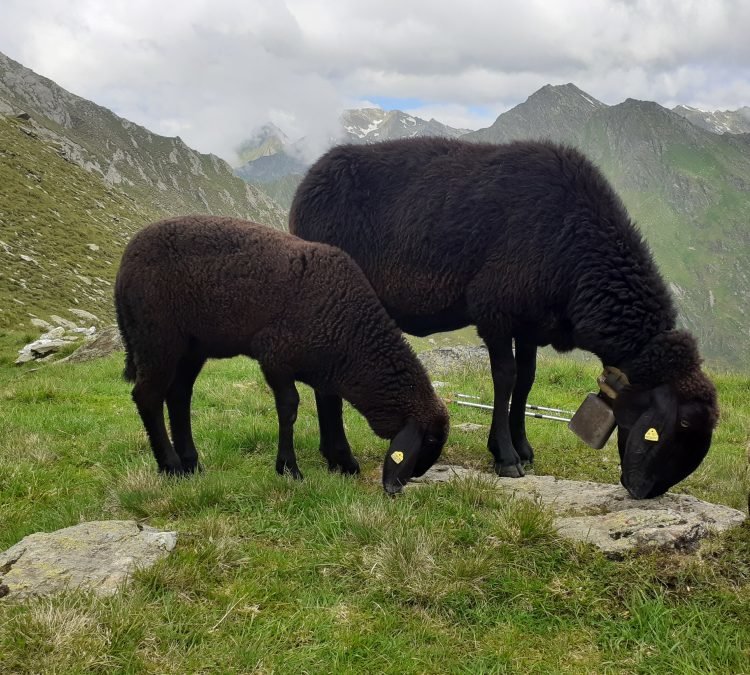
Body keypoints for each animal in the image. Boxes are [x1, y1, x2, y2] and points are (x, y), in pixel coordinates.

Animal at [114, 214, 450, 494]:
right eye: (430, 440)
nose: (405, 482)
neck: (352, 334)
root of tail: (125, 263)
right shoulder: (275, 357)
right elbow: (290, 407)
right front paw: (289, 468)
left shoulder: (325, 367)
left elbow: (331, 407)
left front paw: (341, 461)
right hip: (157, 338)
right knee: (147, 396)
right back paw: (170, 466)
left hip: (191, 347)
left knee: (179, 395)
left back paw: (191, 464)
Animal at [290, 137, 720, 500]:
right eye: (679, 426)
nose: (645, 491)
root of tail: (310, 179)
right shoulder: (494, 310)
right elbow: (506, 377)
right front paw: (506, 457)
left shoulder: (530, 321)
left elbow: (527, 380)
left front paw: (522, 447)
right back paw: (341, 458)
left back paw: (335, 457)